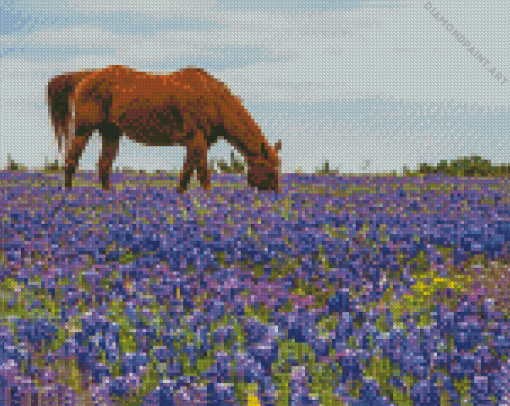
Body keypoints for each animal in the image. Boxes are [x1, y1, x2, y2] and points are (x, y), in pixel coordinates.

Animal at [46, 64, 282, 193]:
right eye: (270, 170)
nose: (276, 197)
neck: (212, 97)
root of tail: (86, 76)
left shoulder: (194, 143)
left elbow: (185, 175)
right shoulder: (198, 140)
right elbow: (203, 176)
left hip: (111, 132)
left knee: (103, 166)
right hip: (83, 130)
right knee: (71, 162)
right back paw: (69, 196)